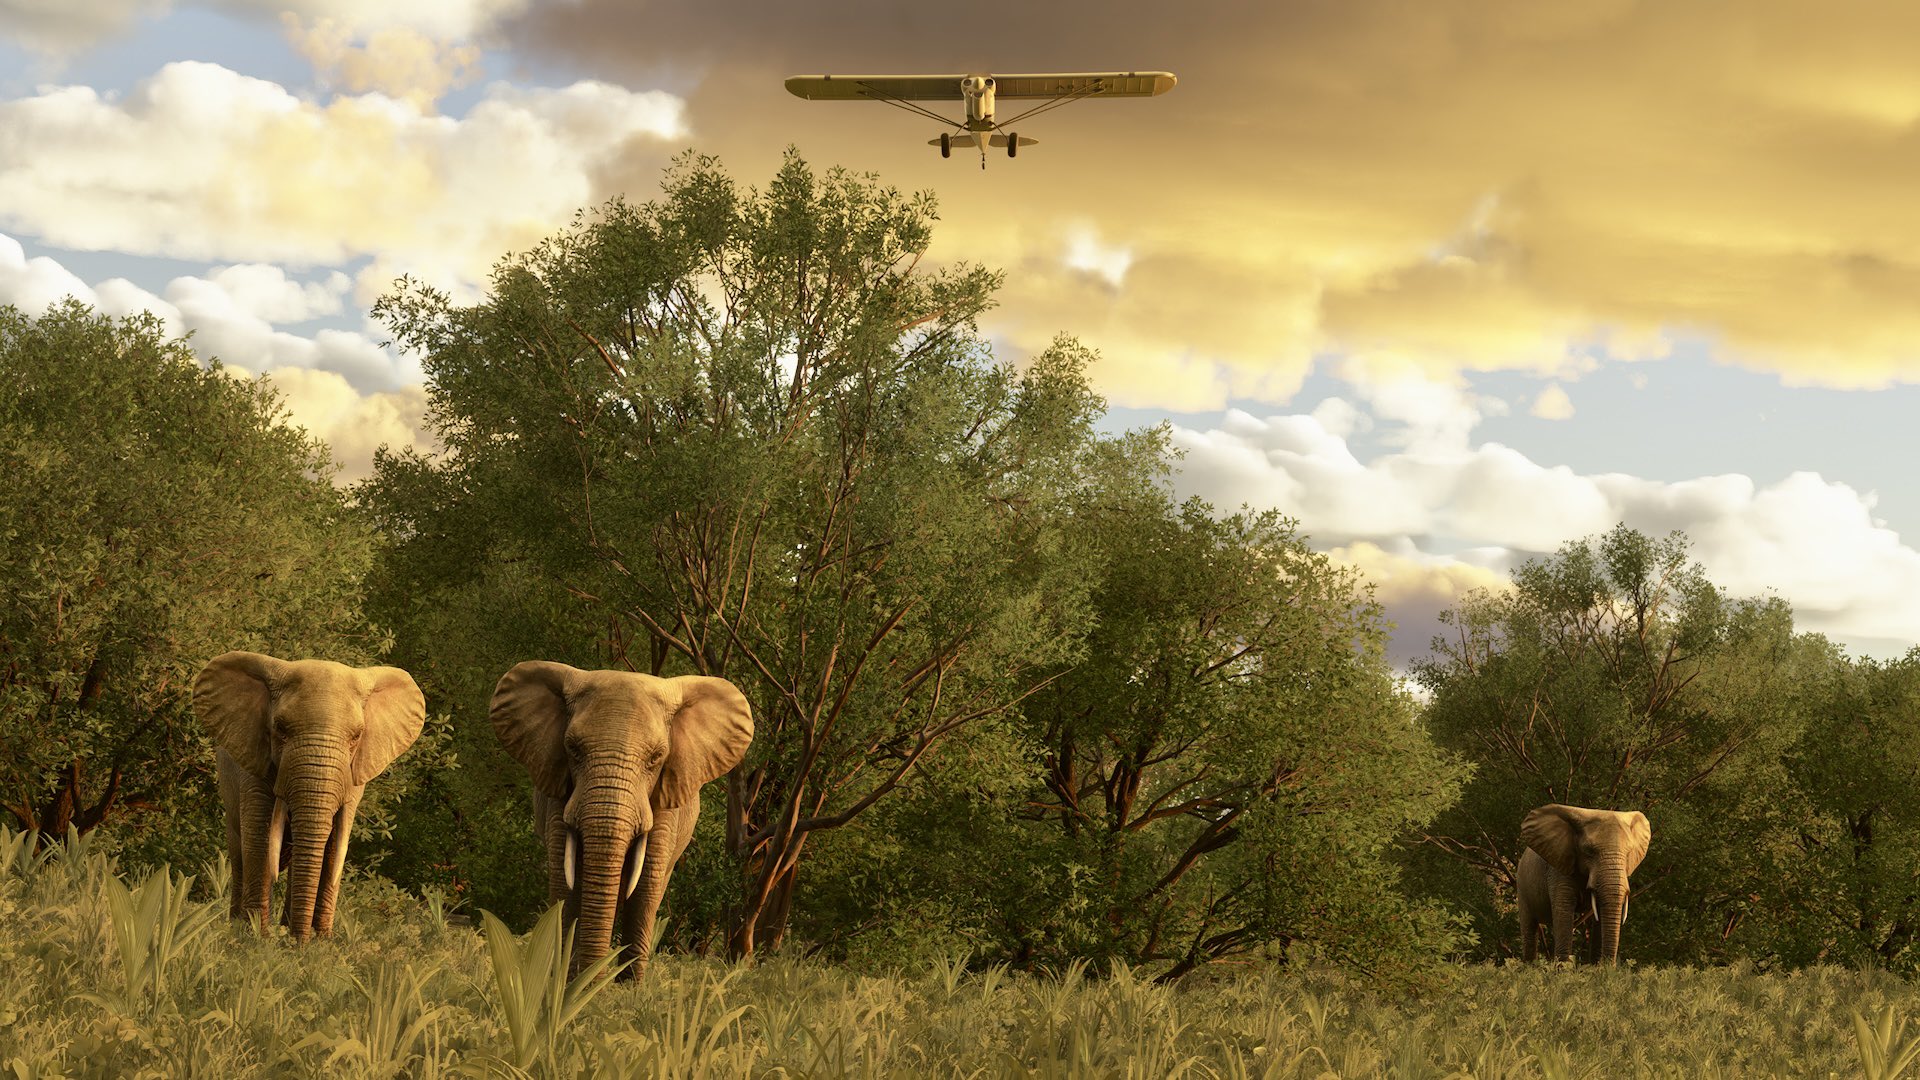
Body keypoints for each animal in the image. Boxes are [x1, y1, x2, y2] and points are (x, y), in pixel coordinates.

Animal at [191, 645, 424, 933]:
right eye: (280, 729)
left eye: (357, 736)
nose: (299, 940)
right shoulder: (253, 764)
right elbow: (260, 838)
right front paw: (257, 936)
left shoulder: (354, 777)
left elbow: (334, 845)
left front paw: (320, 940)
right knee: (240, 853)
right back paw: (239, 926)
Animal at [491, 657, 752, 976]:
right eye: (573, 749)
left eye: (656, 758)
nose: (595, 976)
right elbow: (566, 879)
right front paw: (568, 980)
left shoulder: (666, 797)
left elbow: (647, 882)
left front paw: (626, 984)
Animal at [1512, 799, 1651, 957]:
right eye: (1589, 851)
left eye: (1629, 853)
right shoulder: (1559, 867)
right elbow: (1564, 910)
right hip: (1521, 885)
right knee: (1529, 929)